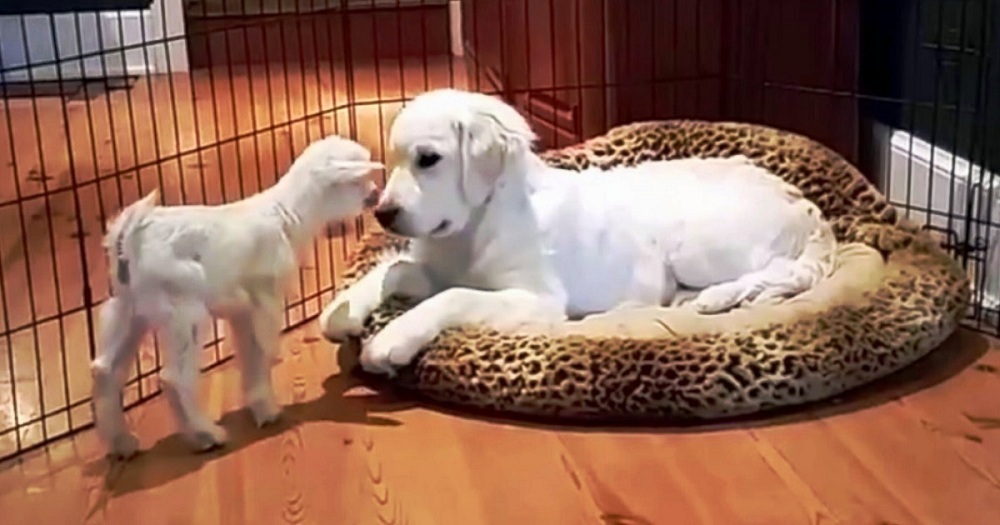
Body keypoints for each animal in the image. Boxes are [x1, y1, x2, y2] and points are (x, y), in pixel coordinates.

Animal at [91, 135, 382, 459]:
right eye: (358, 180)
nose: (376, 194)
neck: (287, 213)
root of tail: (130, 236)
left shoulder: (242, 309)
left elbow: (249, 351)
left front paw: (258, 403)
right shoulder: (265, 299)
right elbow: (262, 352)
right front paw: (266, 409)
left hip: (128, 308)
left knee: (105, 369)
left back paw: (122, 442)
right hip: (183, 311)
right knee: (174, 377)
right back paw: (206, 435)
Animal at [319, 89, 836, 377]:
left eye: (428, 159)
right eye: (393, 160)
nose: (383, 214)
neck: (476, 226)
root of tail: (807, 206)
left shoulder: (538, 299)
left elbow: (453, 296)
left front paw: (393, 339)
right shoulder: (433, 267)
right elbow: (395, 270)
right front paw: (342, 311)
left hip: (694, 242)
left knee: (771, 270)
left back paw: (710, 297)